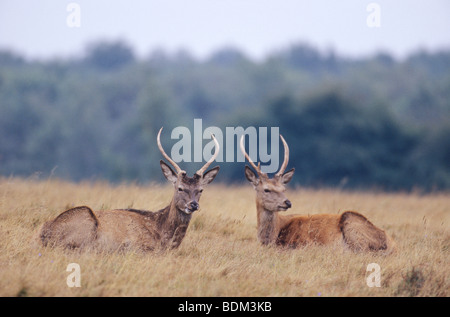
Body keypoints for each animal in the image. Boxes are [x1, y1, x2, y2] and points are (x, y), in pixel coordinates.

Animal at [39, 127, 219, 251]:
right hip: (85, 218)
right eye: (180, 188)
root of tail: (44, 232)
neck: (163, 236)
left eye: (200, 190)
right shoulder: (138, 245)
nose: (193, 204)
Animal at [241, 133, 396, 252]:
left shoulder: (307, 243)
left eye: (284, 189)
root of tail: (392, 244)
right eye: (266, 189)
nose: (287, 202)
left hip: (351, 223)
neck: (274, 236)